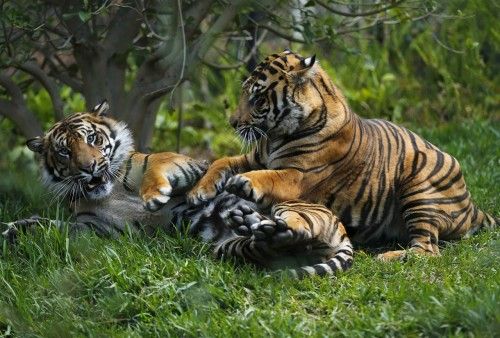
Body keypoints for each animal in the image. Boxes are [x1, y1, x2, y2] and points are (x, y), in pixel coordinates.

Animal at [0, 100, 352, 278]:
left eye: (93, 139)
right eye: (64, 152)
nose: (90, 167)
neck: (109, 192)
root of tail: (343, 232)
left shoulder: (184, 163)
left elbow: (157, 168)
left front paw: (154, 196)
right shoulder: (96, 231)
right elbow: (50, 226)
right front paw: (14, 229)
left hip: (293, 207)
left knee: (302, 227)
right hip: (231, 248)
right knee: (278, 245)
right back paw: (254, 226)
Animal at [189, 50, 498, 262]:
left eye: (258, 98)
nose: (232, 123)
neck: (277, 135)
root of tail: (472, 205)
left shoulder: (299, 176)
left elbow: (272, 177)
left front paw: (245, 182)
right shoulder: (256, 157)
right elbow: (222, 161)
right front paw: (199, 191)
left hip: (419, 184)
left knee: (428, 250)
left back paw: (388, 258)